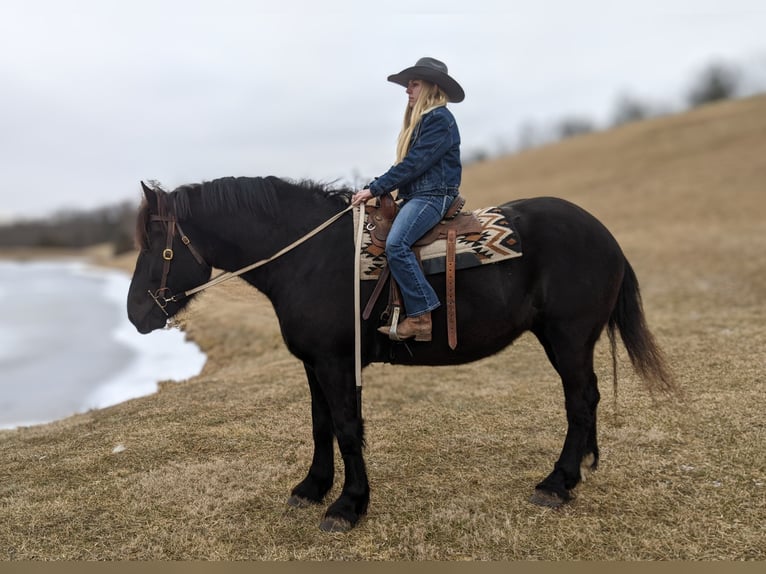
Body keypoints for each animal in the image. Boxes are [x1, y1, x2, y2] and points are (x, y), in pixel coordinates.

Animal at [129, 177, 676, 536]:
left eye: (158, 245)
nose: (135, 313)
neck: (312, 259)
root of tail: (602, 233)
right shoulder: (313, 363)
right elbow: (321, 425)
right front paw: (312, 487)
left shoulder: (336, 362)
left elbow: (348, 428)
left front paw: (348, 506)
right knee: (589, 399)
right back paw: (580, 466)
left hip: (567, 338)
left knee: (579, 402)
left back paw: (557, 483)